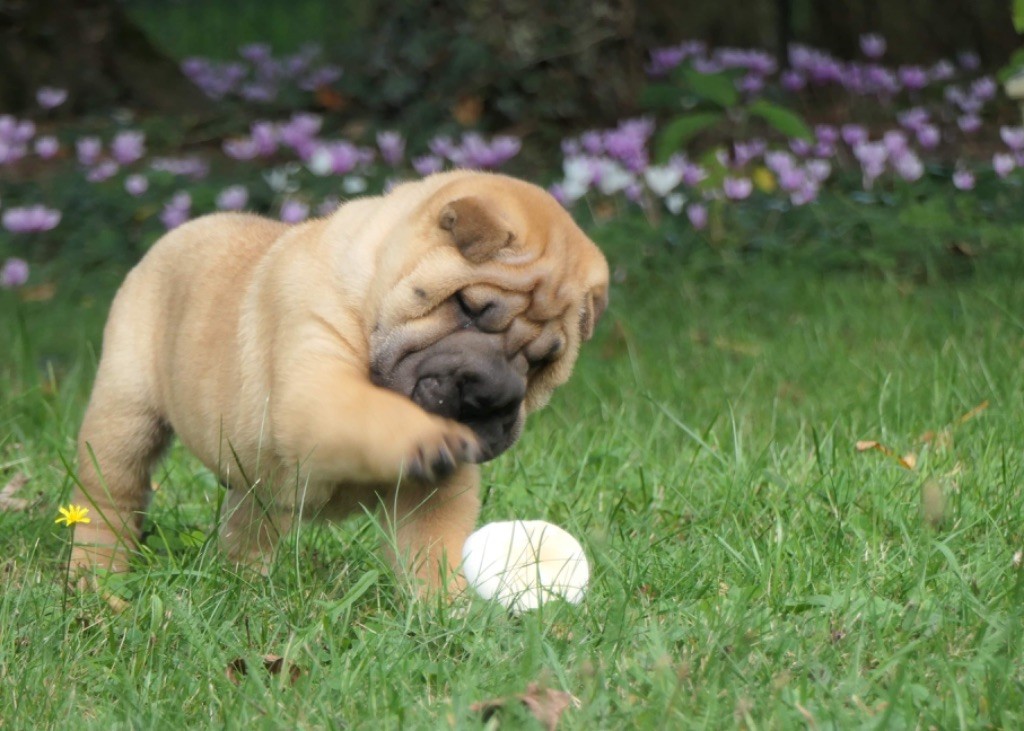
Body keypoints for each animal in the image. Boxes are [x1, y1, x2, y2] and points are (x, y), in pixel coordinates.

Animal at [74, 167, 614, 589]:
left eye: (542, 363)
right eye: (468, 308)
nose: (492, 397)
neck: (371, 293)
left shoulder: (438, 490)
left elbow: (436, 545)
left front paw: (450, 617)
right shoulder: (316, 381)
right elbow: (368, 412)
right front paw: (425, 436)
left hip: (255, 486)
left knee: (247, 527)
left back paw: (244, 585)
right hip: (124, 414)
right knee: (109, 499)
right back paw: (97, 582)